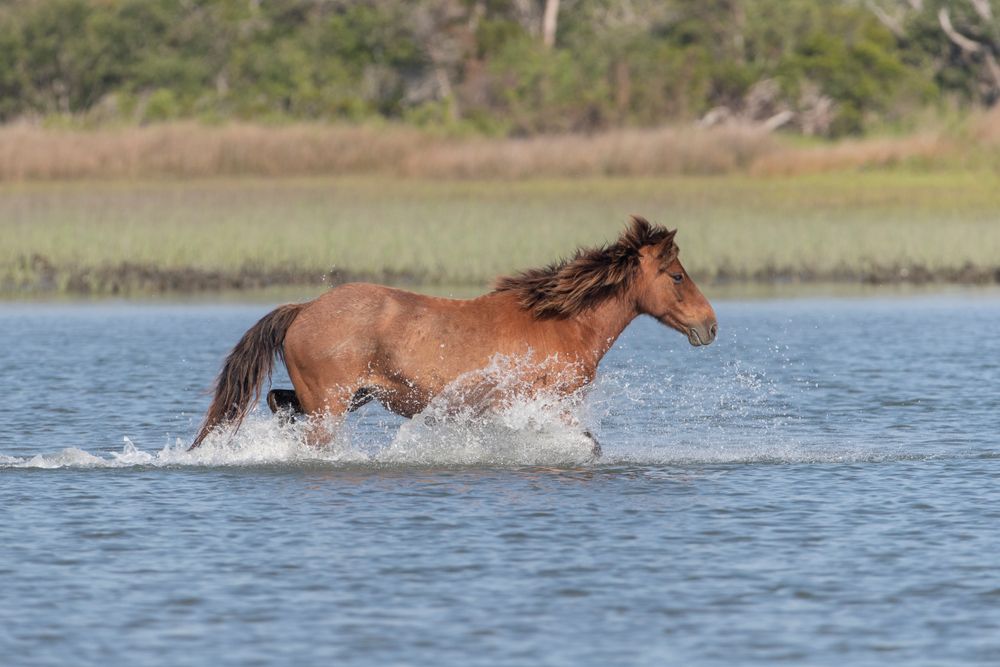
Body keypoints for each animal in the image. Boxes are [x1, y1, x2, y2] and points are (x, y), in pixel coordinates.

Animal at [190, 216, 718, 453]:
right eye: (676, 276)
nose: (710, 325)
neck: (562, 321)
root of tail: (304, 308)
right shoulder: (542, 403)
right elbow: (588, 443)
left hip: (346, 397)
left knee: (278, 403)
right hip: (330, 404)